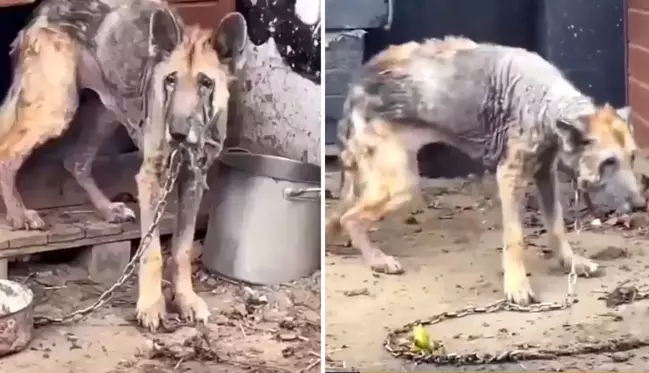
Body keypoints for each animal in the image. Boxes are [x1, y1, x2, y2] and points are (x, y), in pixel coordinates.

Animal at [0, 0, 248, 332]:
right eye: (170, 80)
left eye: (205, 84)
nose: (177, 133)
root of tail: (45, 9)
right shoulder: (152, 178)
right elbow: (152, 252)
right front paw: (151, 306)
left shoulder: (194, 181)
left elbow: (181, 250)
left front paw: (185, 299)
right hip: (56, 108)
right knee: (7, 154)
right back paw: (18, 214)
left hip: (105, 110)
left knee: (76, 161)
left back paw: (107, 209)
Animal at [326, 36, 644, 306]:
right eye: (608, 162)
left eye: (632, 157)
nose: (642, 205)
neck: (546, 103)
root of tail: (357, 84)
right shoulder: (510, 177)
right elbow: (515, 238)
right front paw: (517, 285)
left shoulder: (546, 175)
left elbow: (556, 227)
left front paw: (570, 262)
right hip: (400, 185)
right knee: (350, 218)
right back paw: (376, 259)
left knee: (343, 216)